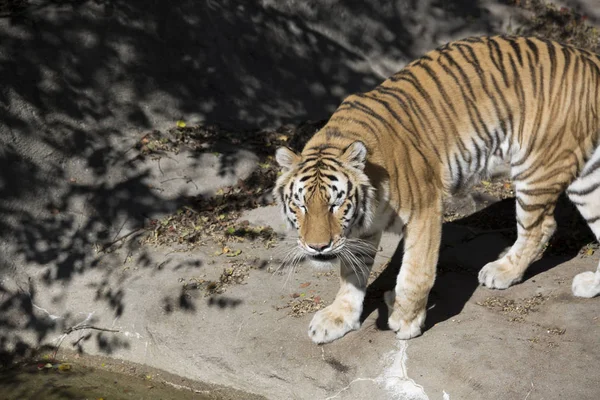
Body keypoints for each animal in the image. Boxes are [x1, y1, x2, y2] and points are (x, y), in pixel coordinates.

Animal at [274, 36, 600, 344]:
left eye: (335, 204)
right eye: (301, 205)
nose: (318, 247)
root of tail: (588, 58)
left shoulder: (424, 210)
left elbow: (415, 273)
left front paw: (405, 321)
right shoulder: (362, 230)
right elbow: (351, 274)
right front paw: (339, 317)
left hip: (538, 165)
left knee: (540, 226)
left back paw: (501, 272)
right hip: (586, 179)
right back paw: (591, 284)